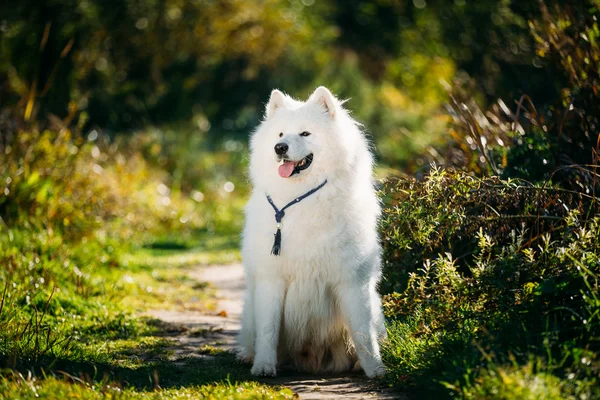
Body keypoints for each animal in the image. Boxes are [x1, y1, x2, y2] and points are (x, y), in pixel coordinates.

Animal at [237, 86, 386, 376]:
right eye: (280, 134)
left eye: (305, 133)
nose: (279, 148)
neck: (303, 199)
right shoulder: (271, 279)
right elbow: (268, 330)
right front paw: (264, 366)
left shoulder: (353, 281)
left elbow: (363, 333)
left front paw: (376, 369)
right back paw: (247, 356)